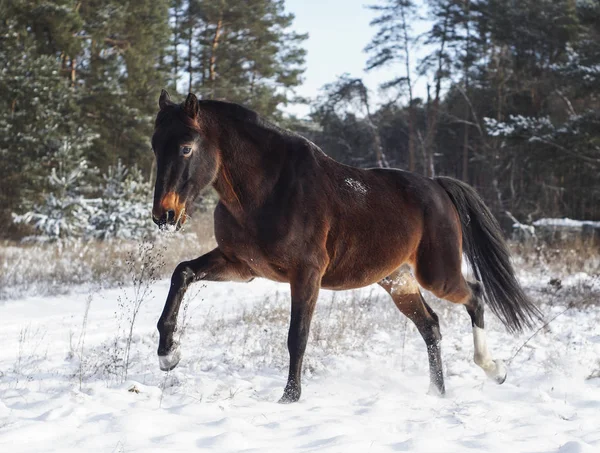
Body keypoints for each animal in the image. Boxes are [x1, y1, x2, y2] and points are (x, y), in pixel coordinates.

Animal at [151, 90, 544, 400]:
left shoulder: (306, 274)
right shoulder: (240, 265)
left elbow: (297, 336)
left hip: (438, 275)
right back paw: (438, 393)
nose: (164, 215)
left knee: (475, 295)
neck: (267, 191)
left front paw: (289, 398)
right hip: (397, 281)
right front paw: (168, 355)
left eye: (186, 147)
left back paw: (494, 370)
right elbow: (181, 273)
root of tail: (437, 186)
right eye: (155, 146)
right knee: (431, 325)